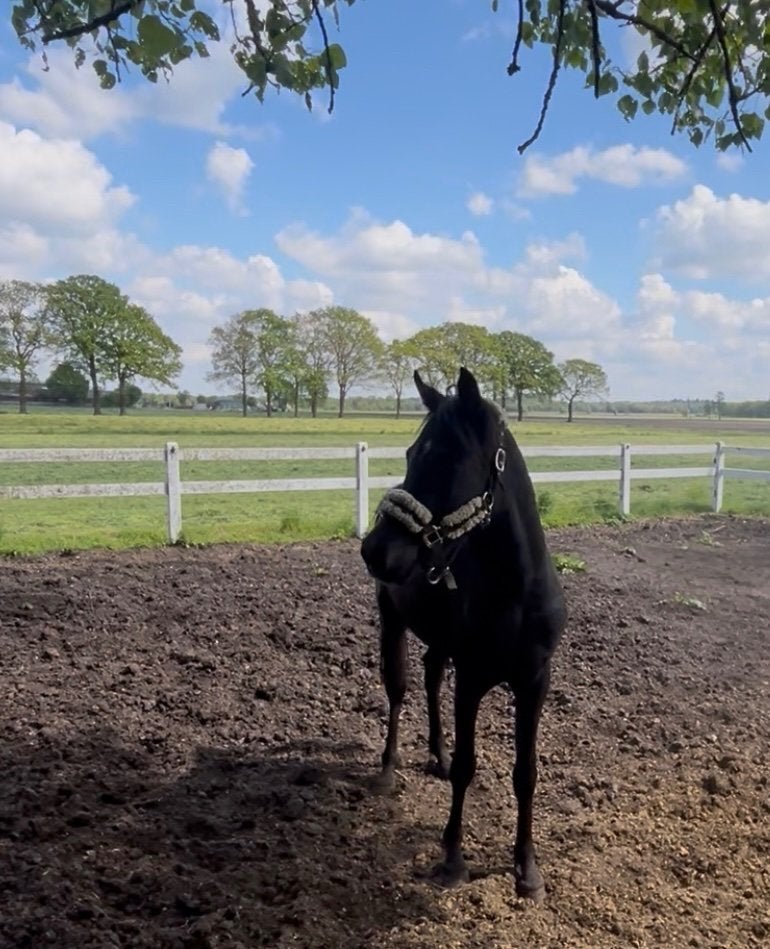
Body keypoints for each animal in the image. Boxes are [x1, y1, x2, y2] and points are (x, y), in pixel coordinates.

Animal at [359, 366, 566, 901]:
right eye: (411, 454)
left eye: (448, 458)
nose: (375, 548)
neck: (516, 591)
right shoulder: (473, 678)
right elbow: (469, 767)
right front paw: (452, 859)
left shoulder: (534, 681)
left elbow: (526, 772)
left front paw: (527, 868)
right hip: (393, 622)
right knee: (399, 689)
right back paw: (389, 770)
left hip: (440, 640)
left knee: (432, 675)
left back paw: (436, 753)